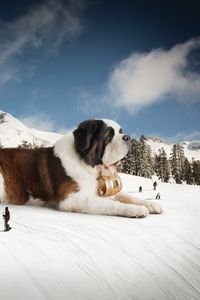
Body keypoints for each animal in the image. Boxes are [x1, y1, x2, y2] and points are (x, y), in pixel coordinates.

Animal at [0, 119, 162, 218]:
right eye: (109, 135)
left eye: (121, 132)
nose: (128, 138)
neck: (88, 164)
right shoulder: (73, 199)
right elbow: (111, 204)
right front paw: (135, 210)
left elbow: (129, 197)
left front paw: (152, 204)